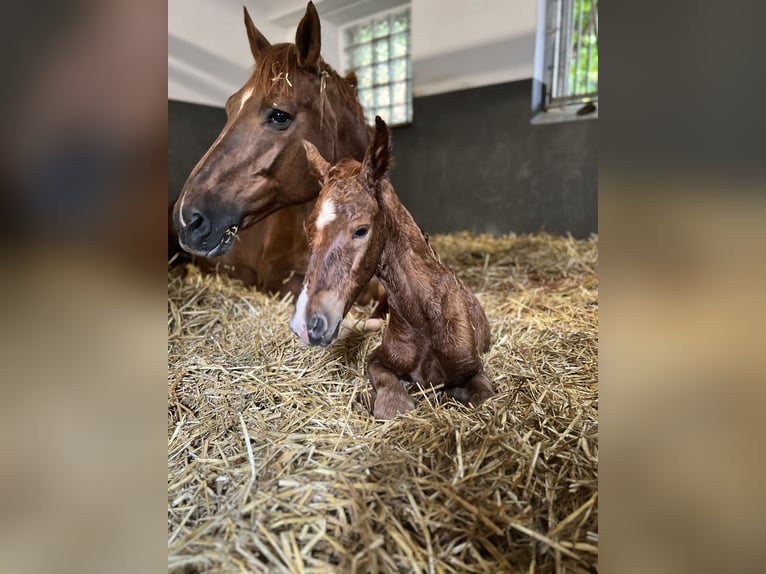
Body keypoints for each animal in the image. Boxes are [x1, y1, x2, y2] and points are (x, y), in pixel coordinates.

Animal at [290, 117, 496, 419]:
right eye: (306, 229)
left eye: (361, 230)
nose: (306, 325)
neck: (425, 323)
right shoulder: (379, 360)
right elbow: (393, 404)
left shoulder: (475, 371)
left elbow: (480, 397)